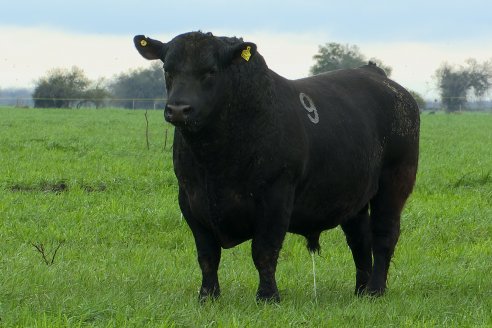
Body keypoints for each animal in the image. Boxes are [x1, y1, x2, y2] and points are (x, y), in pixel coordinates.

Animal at [135, 32, 418, 302]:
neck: (215, 163)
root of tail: (375, 74)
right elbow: (207, 255)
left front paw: (268, 296)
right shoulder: (190, 200)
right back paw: (361, 289)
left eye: (210, 71)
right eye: (167, 70)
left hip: (395, 182)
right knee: (360, 240)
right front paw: (207, 296)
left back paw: (375, 290)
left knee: (383, 236)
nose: (178, 109)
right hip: (354, 196)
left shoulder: (275, 197)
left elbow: (264, 252)